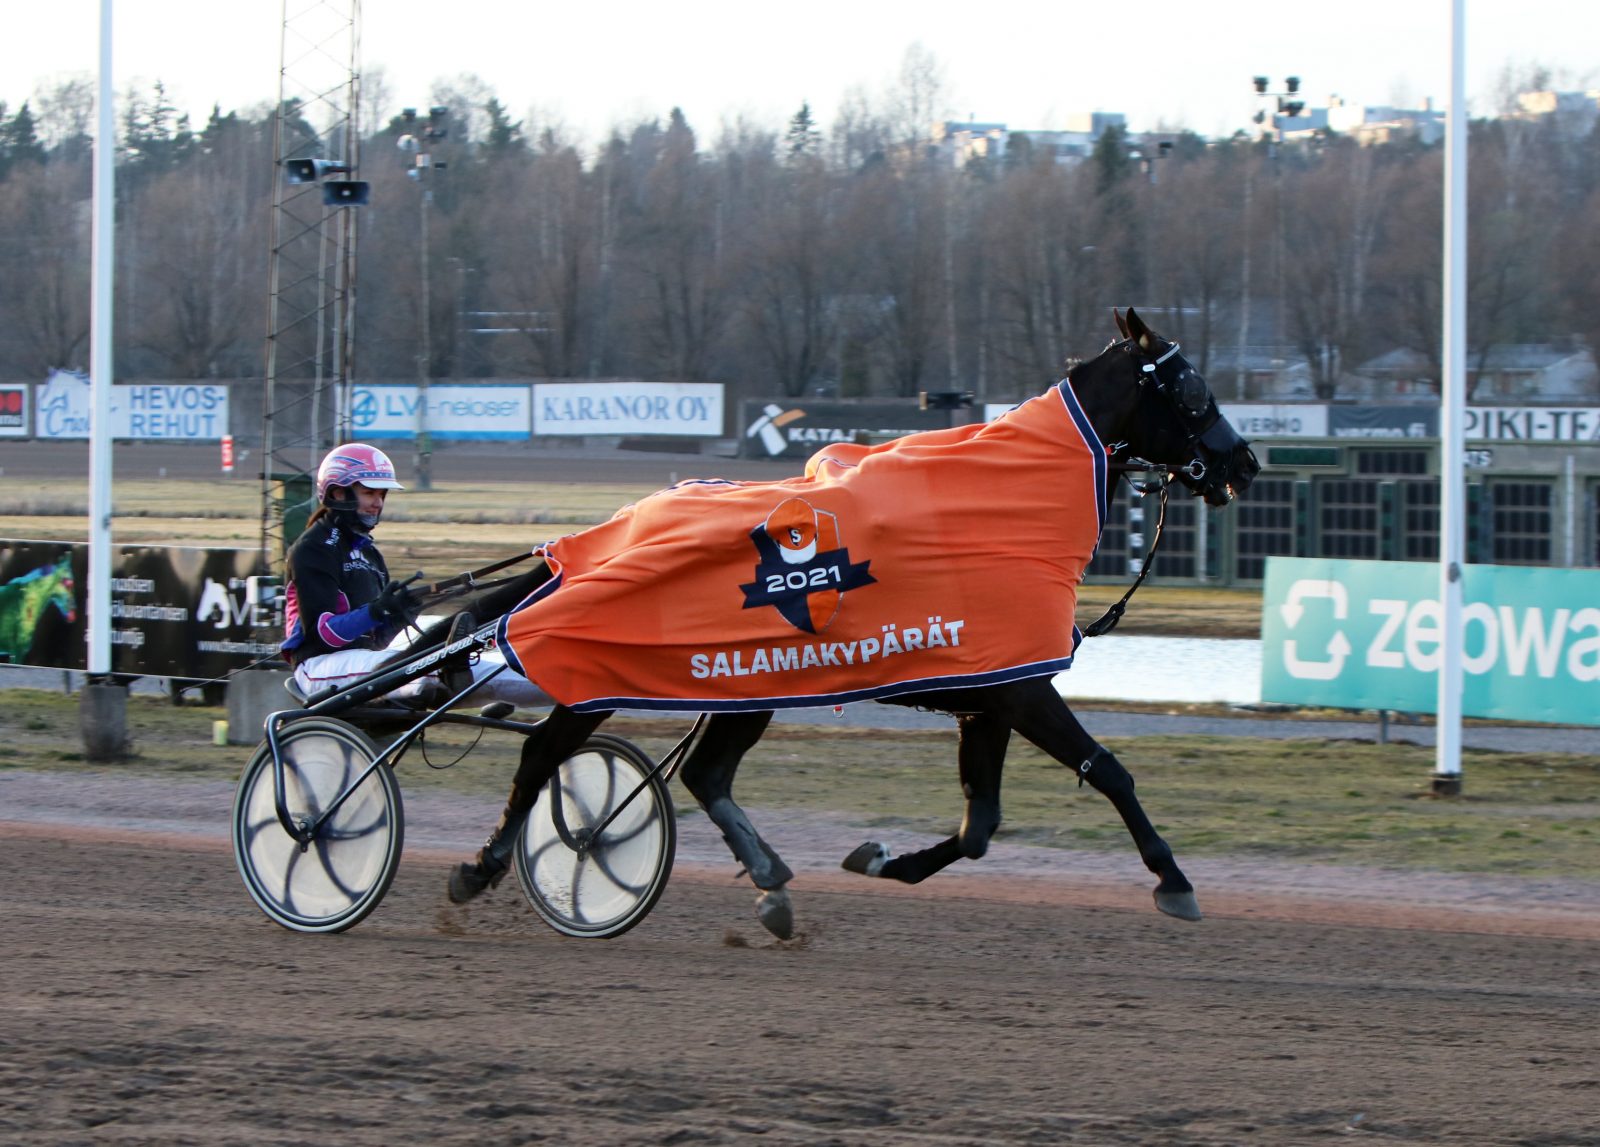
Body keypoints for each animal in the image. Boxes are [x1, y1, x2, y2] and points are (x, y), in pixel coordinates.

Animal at [444, 307, 1254, 940]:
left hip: (746, 685)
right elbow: (1109, 771)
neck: (1008, 508)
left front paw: (886, 859)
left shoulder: (989, 695)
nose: (1242, 462)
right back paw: (489, 862)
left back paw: (767, 877)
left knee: (705, 773)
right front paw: (1173, 878)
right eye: (1192, 387)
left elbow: (980, 828)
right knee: (544, 752)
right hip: (606, 670)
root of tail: (603, 536)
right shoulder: (1023, 690)